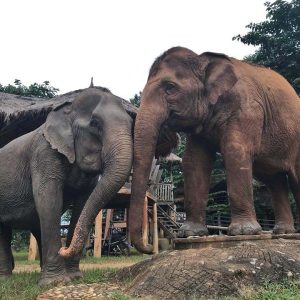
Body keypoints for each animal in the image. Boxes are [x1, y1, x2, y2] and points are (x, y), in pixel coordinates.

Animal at [0, 86, 134, 286]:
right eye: (95, 123)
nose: (64, 249)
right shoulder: (44, 153)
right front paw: (55, 283)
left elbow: (82, 204)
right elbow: (48, 199)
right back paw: (7, 279)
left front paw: (74, 277)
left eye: (132, 123)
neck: (67, 112)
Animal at [129, 46, 300, 253]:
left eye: (170, 87)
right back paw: (283, 233)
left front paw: (243, 233)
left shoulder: (247, 108)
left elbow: (235, 152)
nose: (149, 248)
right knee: (276, 181)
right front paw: (189, 234)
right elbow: (194, 161)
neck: (203, 60)